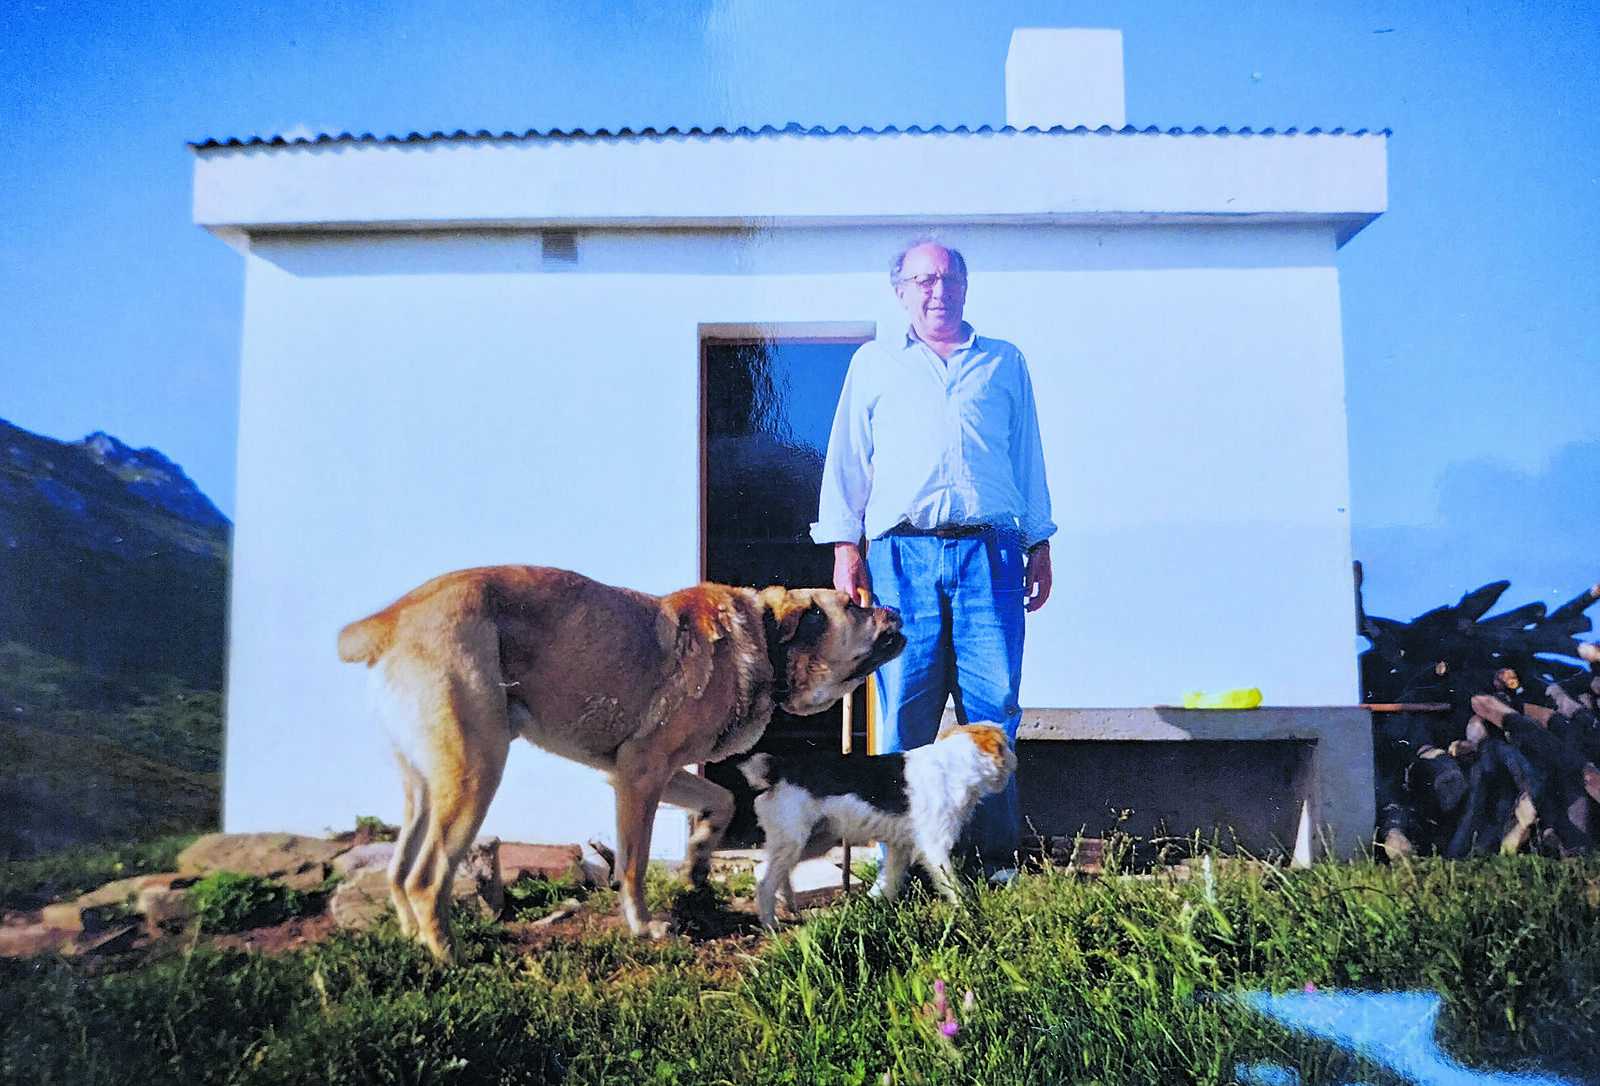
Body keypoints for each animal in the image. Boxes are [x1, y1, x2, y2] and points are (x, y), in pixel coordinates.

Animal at [336, 569, 902, 959]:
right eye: (853, 605)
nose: (896, 610)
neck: (763, 640)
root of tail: (393, 618)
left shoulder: (661, 772)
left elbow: (720, 800)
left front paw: (698, 862)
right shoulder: (639, 775)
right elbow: (633, 863)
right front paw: (645, 926)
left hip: (426, 788)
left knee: (399, 870)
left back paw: (413, 942)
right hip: (477, 773)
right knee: (426, 878)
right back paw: (451, 957)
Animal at [736, 716, 1011, 927]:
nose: (1013, 756)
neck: (955, 762)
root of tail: (778, 771)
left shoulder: (901, 847)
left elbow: (891, 880)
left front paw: (883, 907)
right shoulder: (935, 848)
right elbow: (952, 885)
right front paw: (969, 914)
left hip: (812, 842)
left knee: (772, 873)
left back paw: (791, 906)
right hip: (794, 842)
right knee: (765, 880)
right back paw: (770, 924)